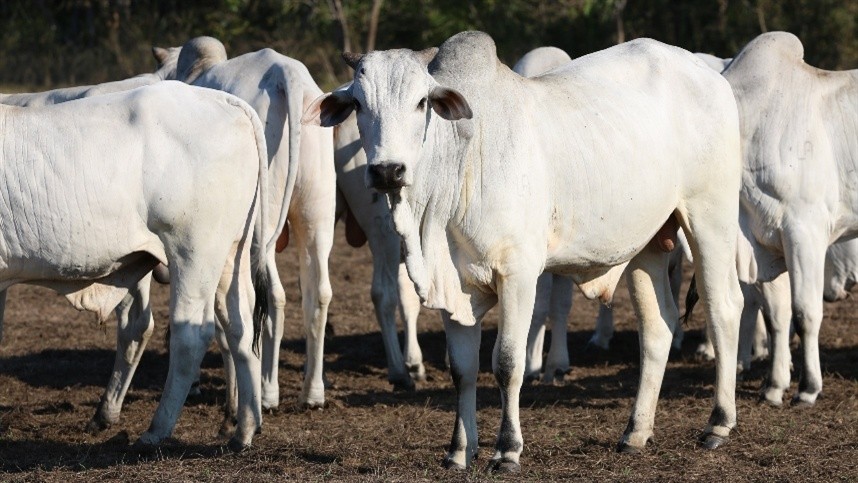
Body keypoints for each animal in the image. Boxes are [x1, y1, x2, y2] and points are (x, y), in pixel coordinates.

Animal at [171, 36, 334, 412]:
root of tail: (287, 74)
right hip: (318, 214)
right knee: (318, 294)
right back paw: (313, 393)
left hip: (261, 227)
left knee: (272, 296)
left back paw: (268, 392)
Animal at [306, 31, 744, 472]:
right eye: (359, 104)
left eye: (421, 102)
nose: (387, 171)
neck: (460, 160)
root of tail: (712, 76)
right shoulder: (452, 284)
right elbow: (463, 369)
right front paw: (459, 451)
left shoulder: (517, 274)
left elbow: (508, 363)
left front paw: (507, 449)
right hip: (648, 242)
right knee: (658, 326)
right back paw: (636, 432)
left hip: (711, 218)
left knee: (724, 307)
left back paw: (718, 424)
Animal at [724, 31, 856, 408]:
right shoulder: (766, 238)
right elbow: (776, 316)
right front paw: (774, 385)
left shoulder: (804, 231)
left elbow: (805, 312)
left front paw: (809, 387)